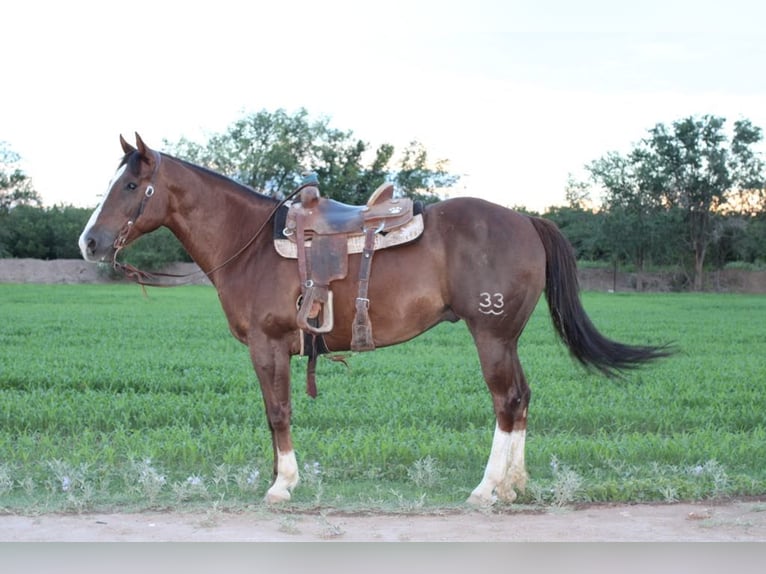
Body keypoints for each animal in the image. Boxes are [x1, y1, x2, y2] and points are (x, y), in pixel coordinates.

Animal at [78, 133, 672, 505]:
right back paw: (515, 485)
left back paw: (485, 490)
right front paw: (276, 477)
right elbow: (275, 414)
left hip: (491, 336)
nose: (89, 243)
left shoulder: (268, 345)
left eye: (129, 187)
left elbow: (277, 412)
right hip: (508, 339)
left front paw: (282, 485)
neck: (249, 244)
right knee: (523, 398)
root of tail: (526, 220)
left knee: (506, 401)